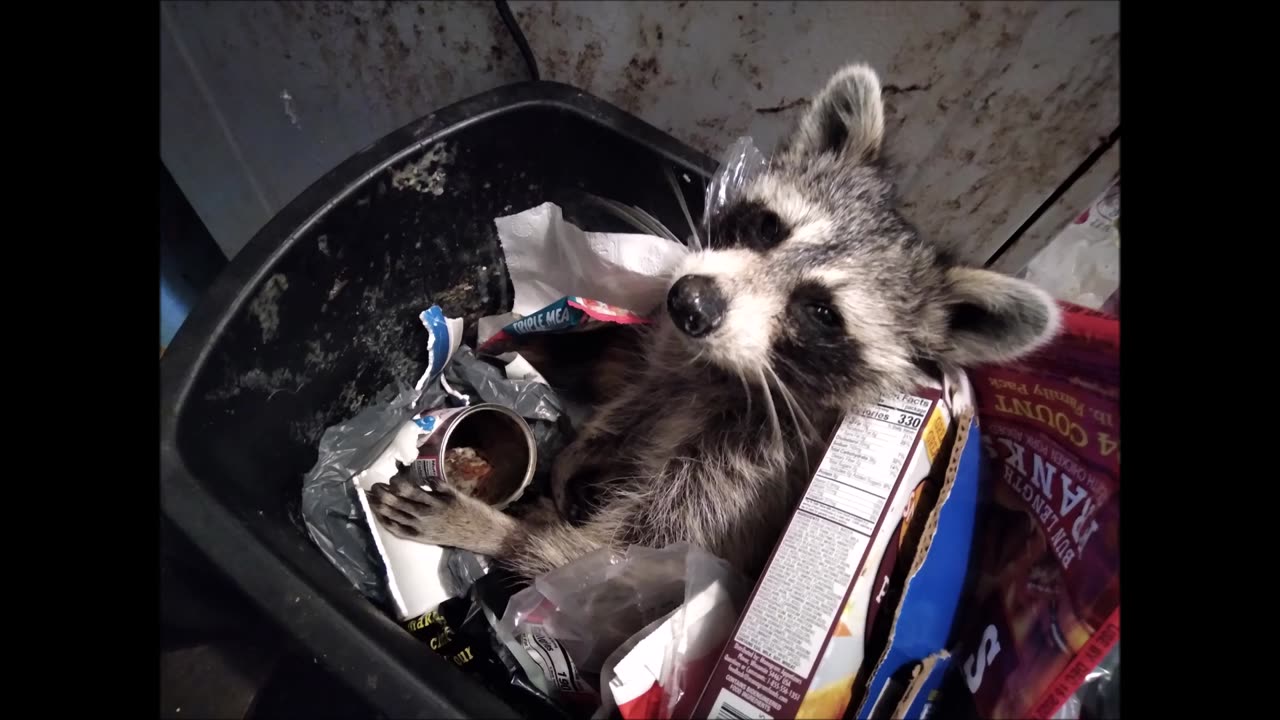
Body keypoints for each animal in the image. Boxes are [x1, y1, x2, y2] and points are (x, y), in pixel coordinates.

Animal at [369, 64, 1061, 581]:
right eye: (767, 227)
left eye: (821, 313)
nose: (689, 302)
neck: (722, 371)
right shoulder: (675, 363)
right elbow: (638, 400)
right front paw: (587, 445)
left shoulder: (746, 475)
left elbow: (622, 556)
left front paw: (496, 532)